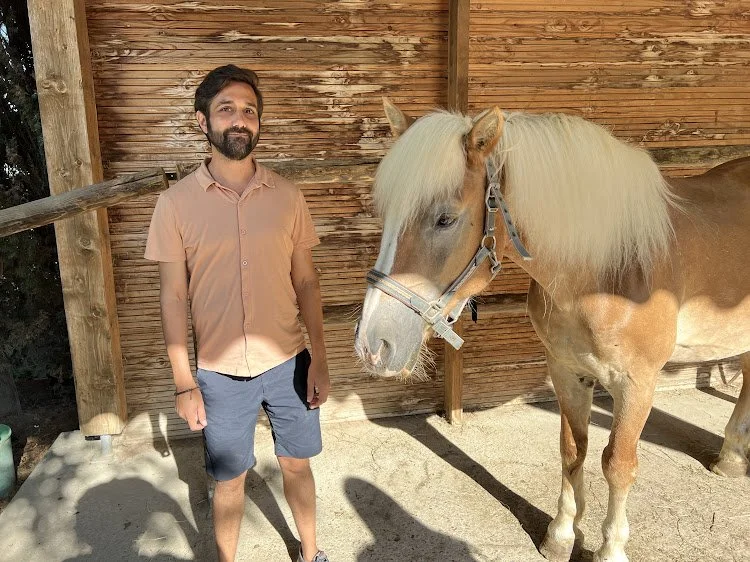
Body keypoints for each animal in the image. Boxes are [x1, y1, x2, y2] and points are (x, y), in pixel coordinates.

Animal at [354, 99, 750, 562]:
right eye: (385, 216)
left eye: (445, 219)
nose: (372, 345)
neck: (605, 272)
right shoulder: (566, 371)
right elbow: (572, 450)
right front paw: (561, 535)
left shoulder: (638, 383)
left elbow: (618, 464)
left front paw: (611, 548)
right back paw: (731, 459)